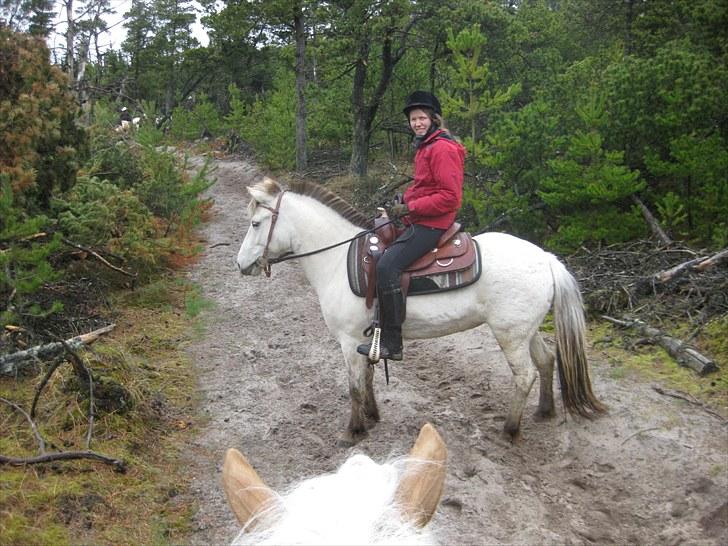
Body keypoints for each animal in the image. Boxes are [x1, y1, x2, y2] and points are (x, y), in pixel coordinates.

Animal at [236, 177, 604, 442]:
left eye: (255, 223)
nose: (240, 264)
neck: (337, 259)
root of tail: (547, 259)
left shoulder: (348, 340)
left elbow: (354, 384)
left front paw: (354, 430)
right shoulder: (364, 338)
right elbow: (367, 377)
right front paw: (372, 416)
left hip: (510, 335)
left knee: (525, 374)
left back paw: (510, 429)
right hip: (526, 330)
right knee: (546, 360)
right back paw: (544, 411)